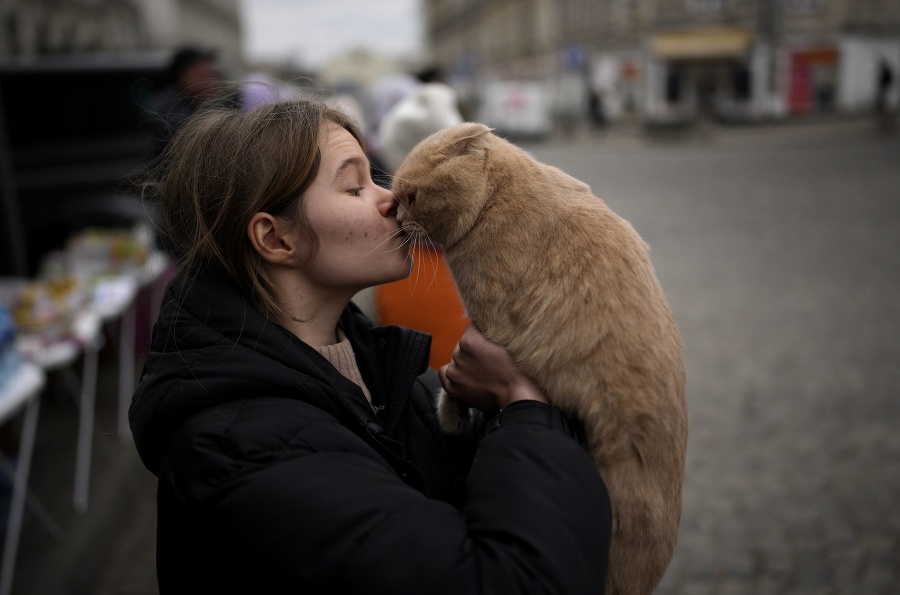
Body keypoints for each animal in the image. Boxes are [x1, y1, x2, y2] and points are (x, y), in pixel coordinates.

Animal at [392, 122, 688, 595]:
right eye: (396, 200)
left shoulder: (487, 323)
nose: (399, 222)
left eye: (412, 196)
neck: (496, 198)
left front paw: (450, 416)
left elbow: (454, 377)